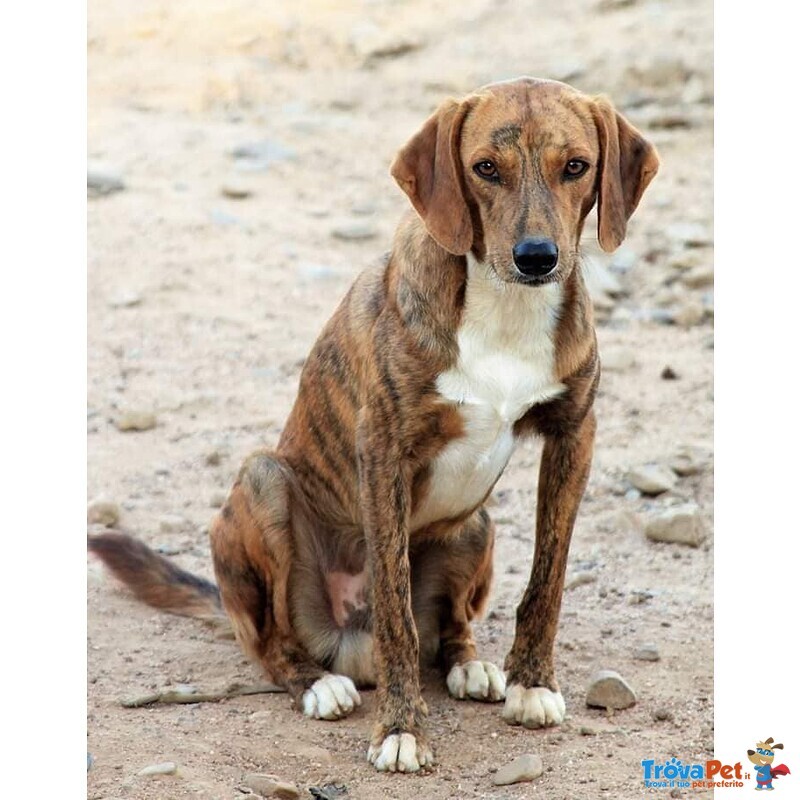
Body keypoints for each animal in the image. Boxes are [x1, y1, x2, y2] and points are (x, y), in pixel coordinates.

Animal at [90, 76, 660, 776]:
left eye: (576, 167)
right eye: (485, 169)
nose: (536, 258)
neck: (503, 307)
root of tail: (345, 643)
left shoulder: (574, 434)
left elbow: (546, 579)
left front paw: (532, 684)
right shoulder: (385, 452)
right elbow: (395, 612)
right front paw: (402, 729)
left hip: (476, 523)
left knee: (449, 627)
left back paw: (470, 665)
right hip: (263, 483)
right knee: (273, 639)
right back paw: (316, 682)